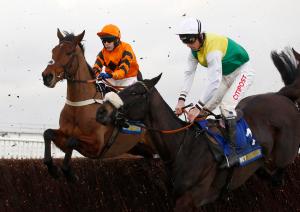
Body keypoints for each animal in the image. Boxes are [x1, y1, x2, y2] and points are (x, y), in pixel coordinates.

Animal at [41, 29, 154, 181]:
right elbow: (47, 134)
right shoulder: (64, 137)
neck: (79, 106)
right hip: (138, 149)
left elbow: (72, 141)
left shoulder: (97, 145)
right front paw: (53, 169)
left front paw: (69, 173)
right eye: (53, 51)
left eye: (69, 52)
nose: (46, 76)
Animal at [95, 47, 300, 210]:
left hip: (283, 155)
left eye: (136, 92)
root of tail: (282, 96)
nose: (101, 111)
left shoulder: (188, 199)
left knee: (279, 174)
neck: (181, 147)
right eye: (123, 89)